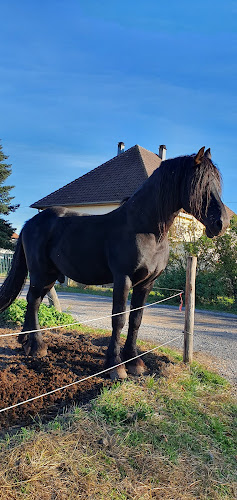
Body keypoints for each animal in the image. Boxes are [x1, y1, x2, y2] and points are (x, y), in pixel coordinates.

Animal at [0, 147, 230, 378]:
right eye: (201, 184)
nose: (222, 223)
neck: (144, 229)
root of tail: (30, 223)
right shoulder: (123, 279)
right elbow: (118, 319)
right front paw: (116, 366)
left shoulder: (146, 284)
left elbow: (136, 320)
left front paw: (134, 362)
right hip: (40, 273)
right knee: (33, 301)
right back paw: (37, 347)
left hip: (49, 276)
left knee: (34, 302)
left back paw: (26, 342)